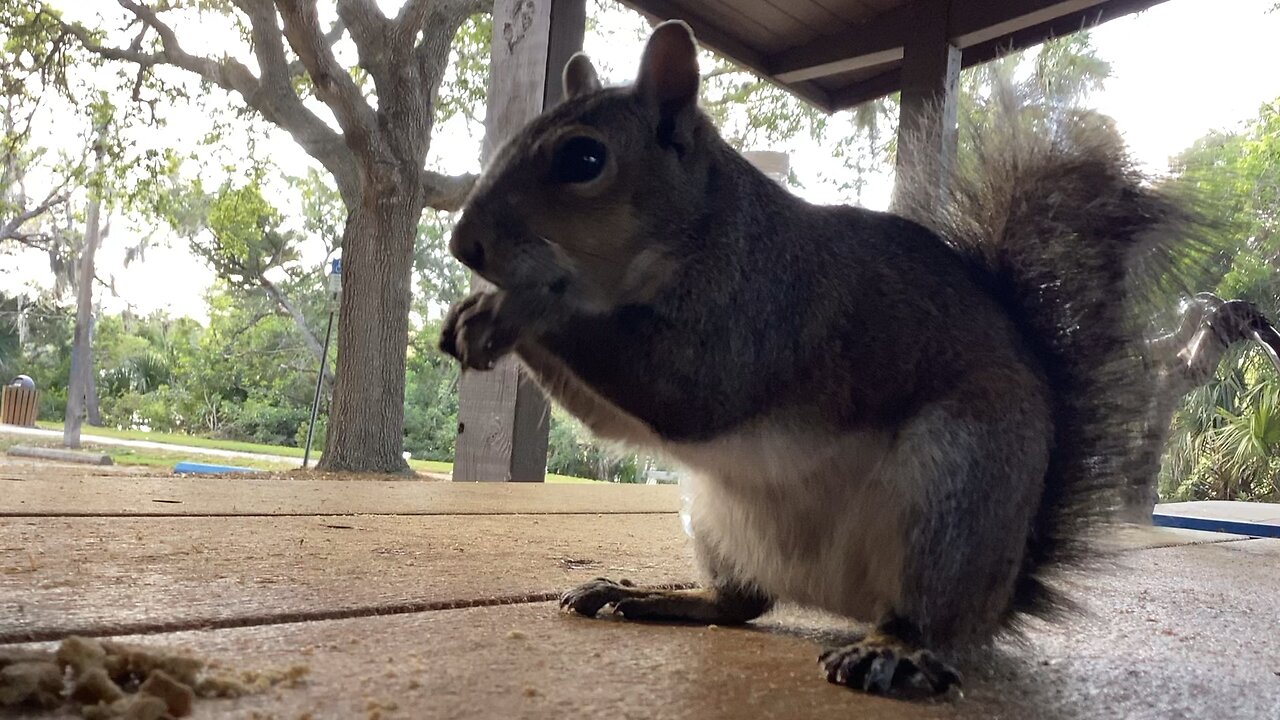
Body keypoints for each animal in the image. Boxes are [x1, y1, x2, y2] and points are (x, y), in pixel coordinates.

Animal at [437, 20, 1280, 696]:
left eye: (584, 160)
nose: (463, 246)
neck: (704, 228)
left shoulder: (772, 309)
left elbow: (692, 387)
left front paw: (524, 305)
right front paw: (468, 319)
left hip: (955, 490)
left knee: (926, 617)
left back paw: (894, 653)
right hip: (714, 514)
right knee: (741, 604)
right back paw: (653, 595)